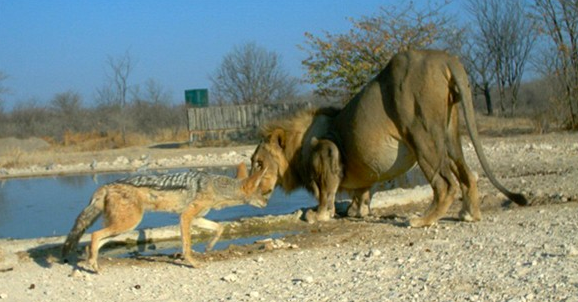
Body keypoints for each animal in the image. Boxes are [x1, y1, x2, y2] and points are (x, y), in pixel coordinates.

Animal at [250, 49, 524, 226]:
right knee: (467, 174)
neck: (296, 150)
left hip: (421, 133)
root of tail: (444, 58)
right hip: (449, 133)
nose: (247, 189)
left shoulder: (327, 148)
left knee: (445, 183)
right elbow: (362, 191)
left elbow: (326, 192)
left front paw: (317, 214)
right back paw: (469, 214)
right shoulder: (362, 169)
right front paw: (357, 210)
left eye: (258, 163)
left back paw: (422, 220)